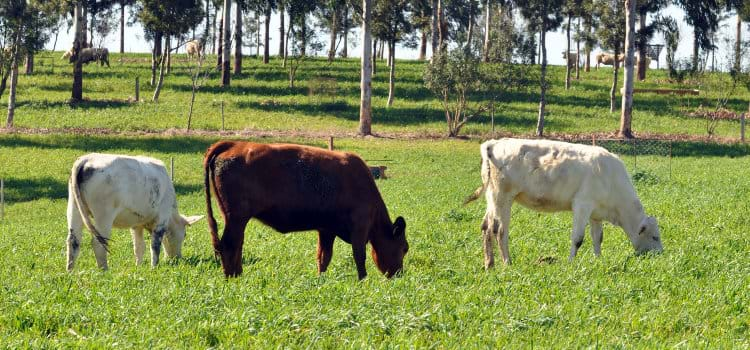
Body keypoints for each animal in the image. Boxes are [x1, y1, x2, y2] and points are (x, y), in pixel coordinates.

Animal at [66, 153, 203, 270]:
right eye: (184, 235)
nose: (177, 258)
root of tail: (87, 159)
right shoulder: (162, 219)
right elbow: (155, 246)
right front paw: (154, 267)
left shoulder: (136, 225)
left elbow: (139, 247)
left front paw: (138, 267)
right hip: (104, 214)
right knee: (98, 243)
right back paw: (104, 270)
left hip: (74, 207)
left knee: (73, 241)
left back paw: (70, 271)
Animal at [203, 141, 408, 280]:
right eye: (404, 248)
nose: (399, 274)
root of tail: (235, 144)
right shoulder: (359, 227)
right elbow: (359, 255)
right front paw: (362, 279)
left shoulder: (326, 230)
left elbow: (324, 257)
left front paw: (320, 279)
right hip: (236, 218)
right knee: (229, 245)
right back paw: (232, 278)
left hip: (235, 219)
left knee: (237, 244)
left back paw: (238, 274)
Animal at [468, 137, 668, 268]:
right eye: (654, 237)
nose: (660, 255)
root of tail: (494, 143)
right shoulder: (582, 205)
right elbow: (578, 238)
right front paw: (571, 263)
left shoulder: (596, 213)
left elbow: (598, 238)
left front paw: (598, 259)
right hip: (502, 197)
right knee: (500, 230)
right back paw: (506, 262)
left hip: (492, 198)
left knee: (486, 227)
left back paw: (489, 264)